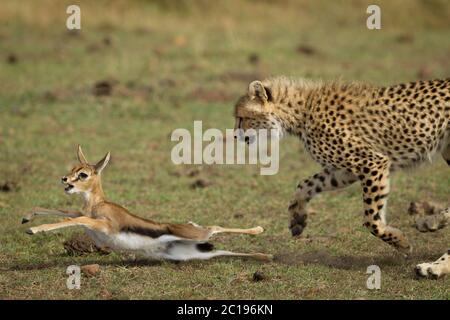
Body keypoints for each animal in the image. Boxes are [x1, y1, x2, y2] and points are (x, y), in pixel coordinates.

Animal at [234, 77, 448, 278]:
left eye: (241, 118)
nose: (236, 136)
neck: (299, 112)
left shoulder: (373, 163)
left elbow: (372, 220)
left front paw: (401, 242)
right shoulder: (345, 171)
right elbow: (305, 184)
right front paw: (297, 218)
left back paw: (434, 265)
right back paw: (434, 221)